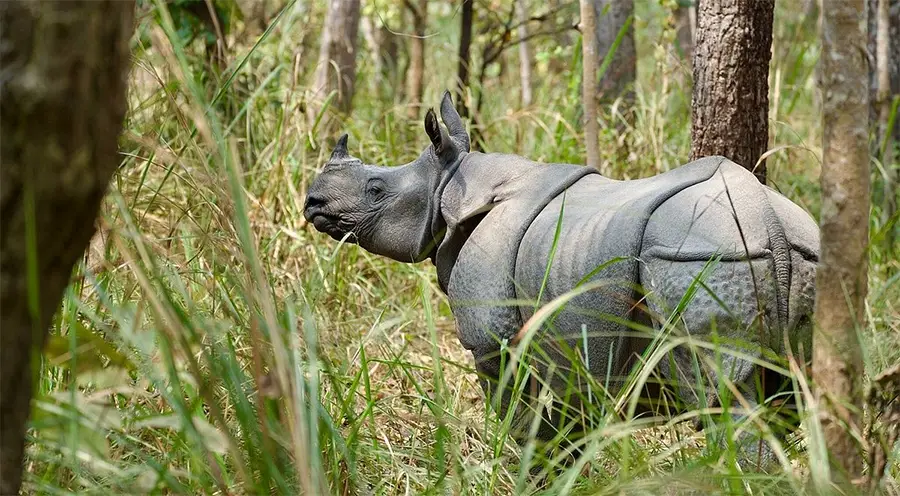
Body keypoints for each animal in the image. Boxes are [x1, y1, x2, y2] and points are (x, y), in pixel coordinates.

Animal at [304, 91, 819, 458]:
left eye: (375, 190)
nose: (312, 202)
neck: (450, 185)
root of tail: (766, 220)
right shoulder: (564, 334)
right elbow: (570, 414)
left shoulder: (494, 339)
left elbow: (518, 410)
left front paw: (530, 467)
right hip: (797, 254)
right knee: (785, 395)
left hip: (702, 255)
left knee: (723, 397)